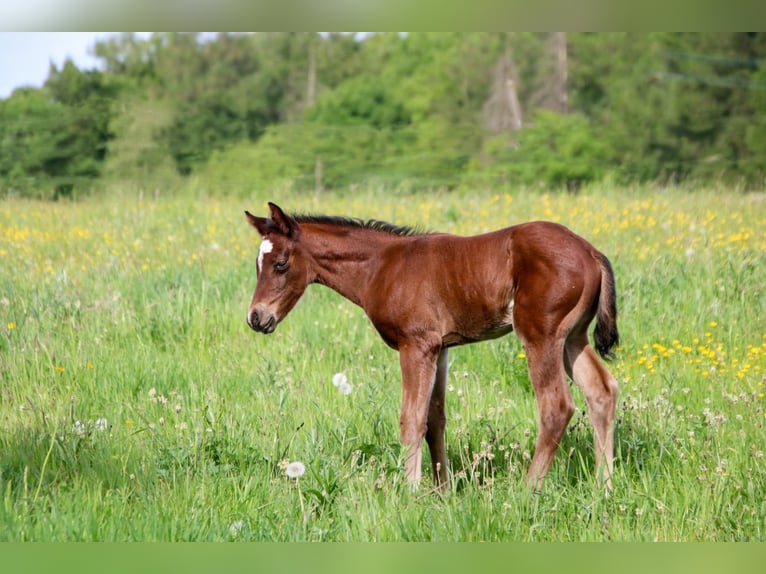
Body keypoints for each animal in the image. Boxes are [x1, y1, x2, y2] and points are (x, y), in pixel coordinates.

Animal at [244, 202, 619, 491]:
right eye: (257, 265)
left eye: (281, 263)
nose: (256, 317)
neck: (380, 265)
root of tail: (590, 252)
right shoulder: (440, 348)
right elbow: (435, 417)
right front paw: (442, 492)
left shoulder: (416, 344)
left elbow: (411, 419)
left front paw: (409, 491)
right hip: (572, 337)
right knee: (602, 391)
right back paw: (603, 487)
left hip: (540, 335)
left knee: (556, 407)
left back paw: (528, 491)